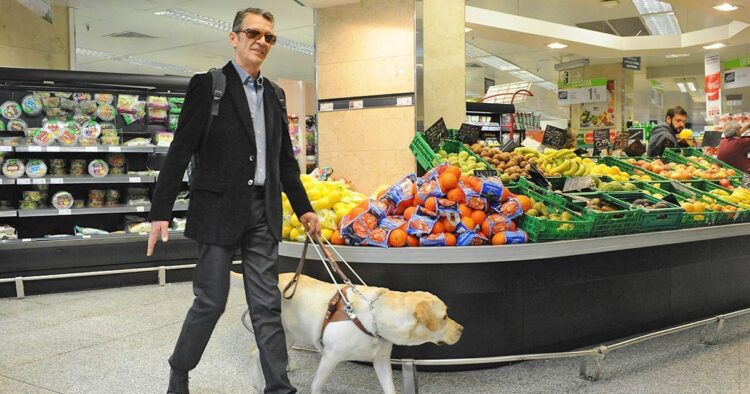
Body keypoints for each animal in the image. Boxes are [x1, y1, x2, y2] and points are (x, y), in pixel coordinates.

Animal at [247, 274, 462, 394]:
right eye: (444, 317)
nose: (461, 329)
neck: (374, 319)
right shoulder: (330, 357)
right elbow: (317, 385)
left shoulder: (381, 361)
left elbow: (390, 388)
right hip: (278, 331)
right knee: (255, 353)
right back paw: (258, 383)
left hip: (289, 334)